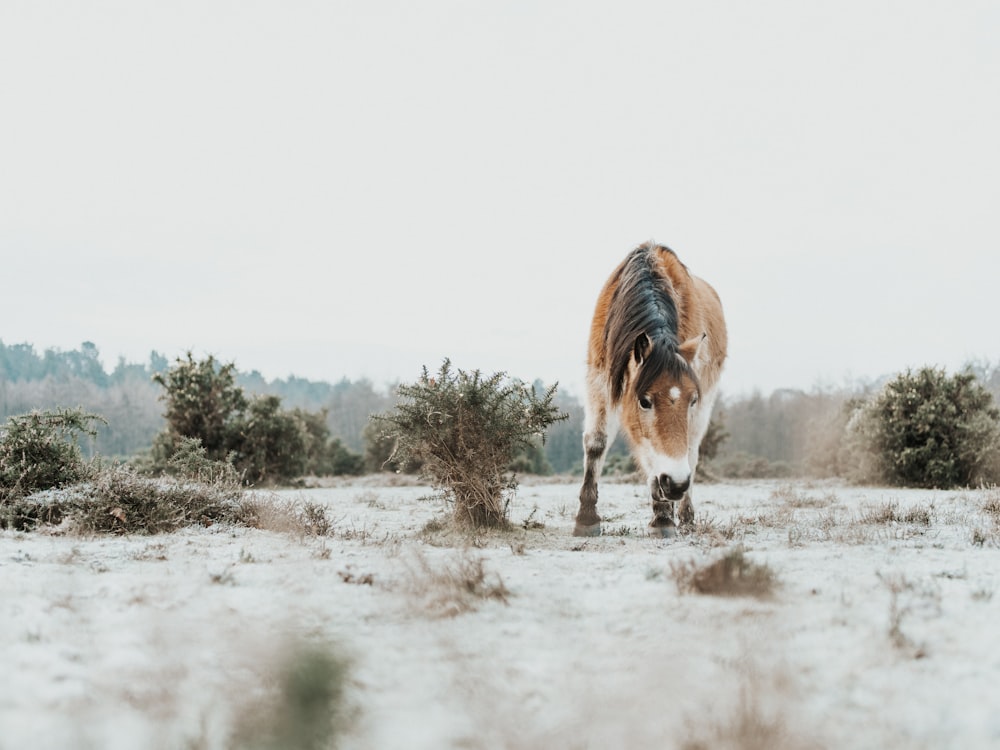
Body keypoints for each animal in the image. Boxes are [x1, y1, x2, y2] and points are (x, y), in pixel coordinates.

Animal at [576, 244, 732, 536]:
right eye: (645, 401)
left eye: (692, 399)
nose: (676, 484)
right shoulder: (599, 380)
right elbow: (596, 443)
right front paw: (586, 517)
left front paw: (663, 517)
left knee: (690, 452)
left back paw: (683, 515)